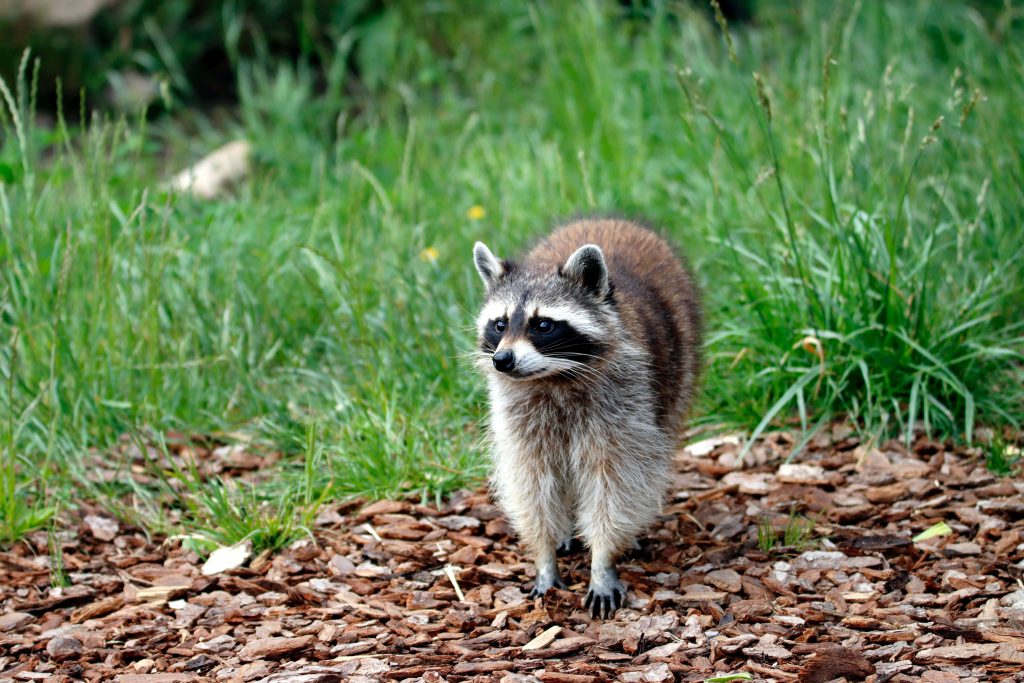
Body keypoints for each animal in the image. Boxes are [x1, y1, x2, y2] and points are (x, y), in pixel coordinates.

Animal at [473, 218, 704, 618]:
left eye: (543, 325)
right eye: (500, 324)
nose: (502, 360)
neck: (553, 377)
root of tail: (611, 219)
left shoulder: (625, 402)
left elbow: (615, 482)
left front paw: (602, 559)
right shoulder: (519, 413)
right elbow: (530, 482)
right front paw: (544, 556)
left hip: (677, 371)